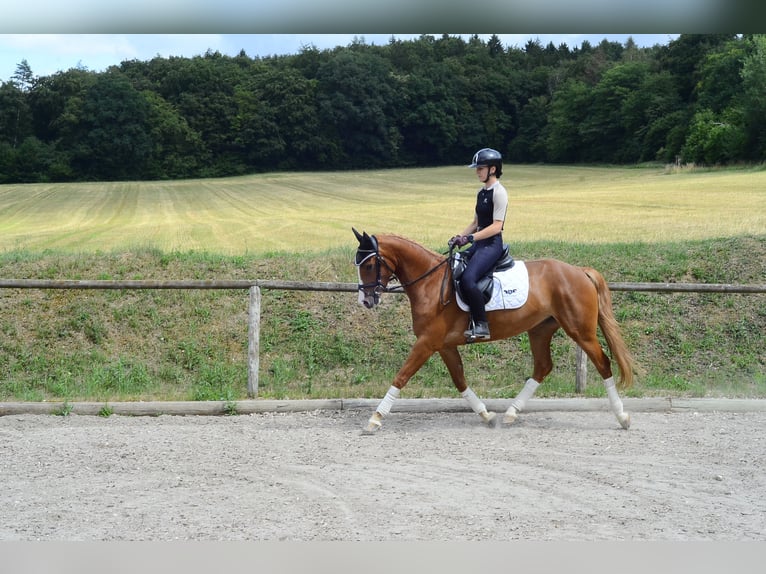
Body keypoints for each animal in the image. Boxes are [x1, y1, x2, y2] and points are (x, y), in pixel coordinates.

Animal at [353, 228, 635, 434]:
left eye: (368, 265)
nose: (365, 301)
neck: (430, 283)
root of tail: (579, 271)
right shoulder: (444, 344)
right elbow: (459, 380)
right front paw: (486, 415)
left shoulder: (427, 342)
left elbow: (402, 376)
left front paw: (375, 418)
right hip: (540, 330)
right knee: (543, 367)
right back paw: (510, 413)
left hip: (580, 331)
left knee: (603, 363)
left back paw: (622, 417)